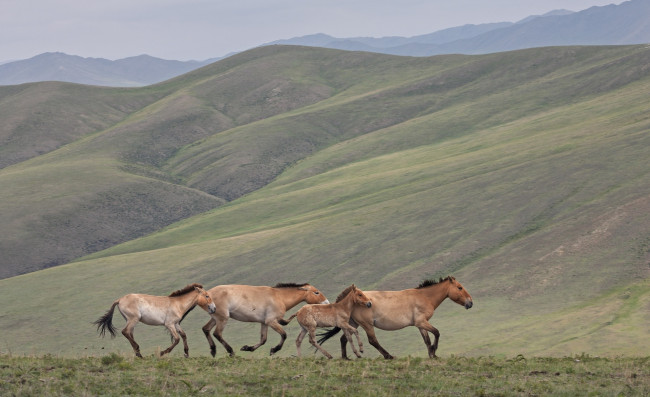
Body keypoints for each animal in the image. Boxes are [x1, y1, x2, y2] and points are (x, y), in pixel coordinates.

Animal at [316, 276, 470, 358]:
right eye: (460, 287)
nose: (470, 302)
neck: (424, 297)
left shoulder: (420, 325)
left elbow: (426, 340)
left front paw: (432, 354)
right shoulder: (422, 322)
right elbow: (437, 333)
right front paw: (434, 351)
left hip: (353, 323)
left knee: (344, 338)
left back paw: (345, 358)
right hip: (367, 324)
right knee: (372, 341)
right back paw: (388, 356)